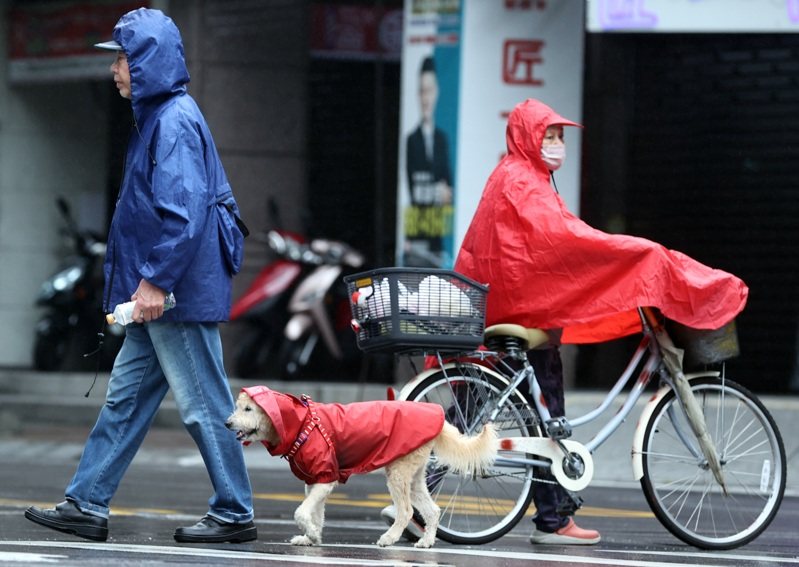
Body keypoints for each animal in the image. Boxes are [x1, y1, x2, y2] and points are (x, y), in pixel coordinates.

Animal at [225, 388, 496, 548]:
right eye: (239, 407)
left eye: (248, 409)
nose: (227, 423)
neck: (303, 425)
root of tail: (439, 419)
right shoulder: (315, 481)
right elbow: (316, 514)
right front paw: (312, 536)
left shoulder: (326, 478)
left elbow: (300, 512)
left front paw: (310, 533)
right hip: (415, 476)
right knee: (432, 511)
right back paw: (426, 542)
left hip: (398, 474)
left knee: (407, 511)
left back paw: (389, 538)